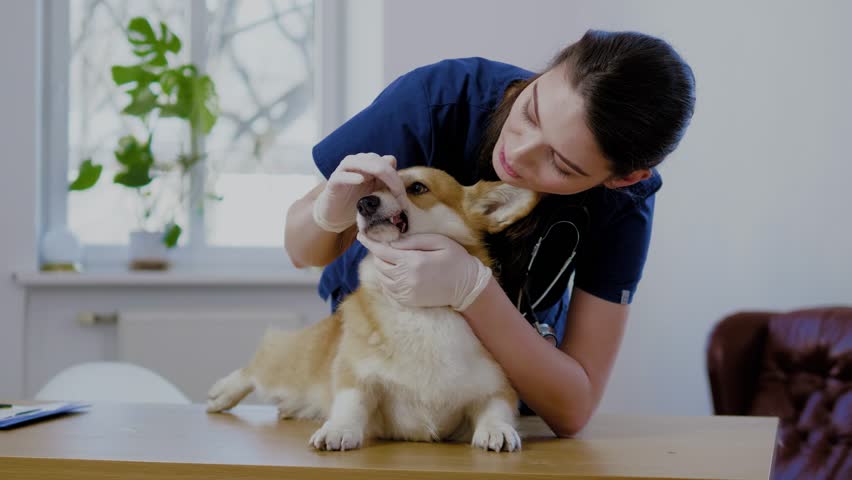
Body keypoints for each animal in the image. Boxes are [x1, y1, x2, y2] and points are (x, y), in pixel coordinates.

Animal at [206, 167, 536, 452]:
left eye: (417, 187)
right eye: (372, 187)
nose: (363, 202)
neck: (419, 310)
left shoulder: (497, 387)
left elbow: (497, 408)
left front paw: (497, 430)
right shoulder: (354, 375)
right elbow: (351, 402)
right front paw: (338, 430)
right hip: (292, 366)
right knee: (258, 364)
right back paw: (223, 392)